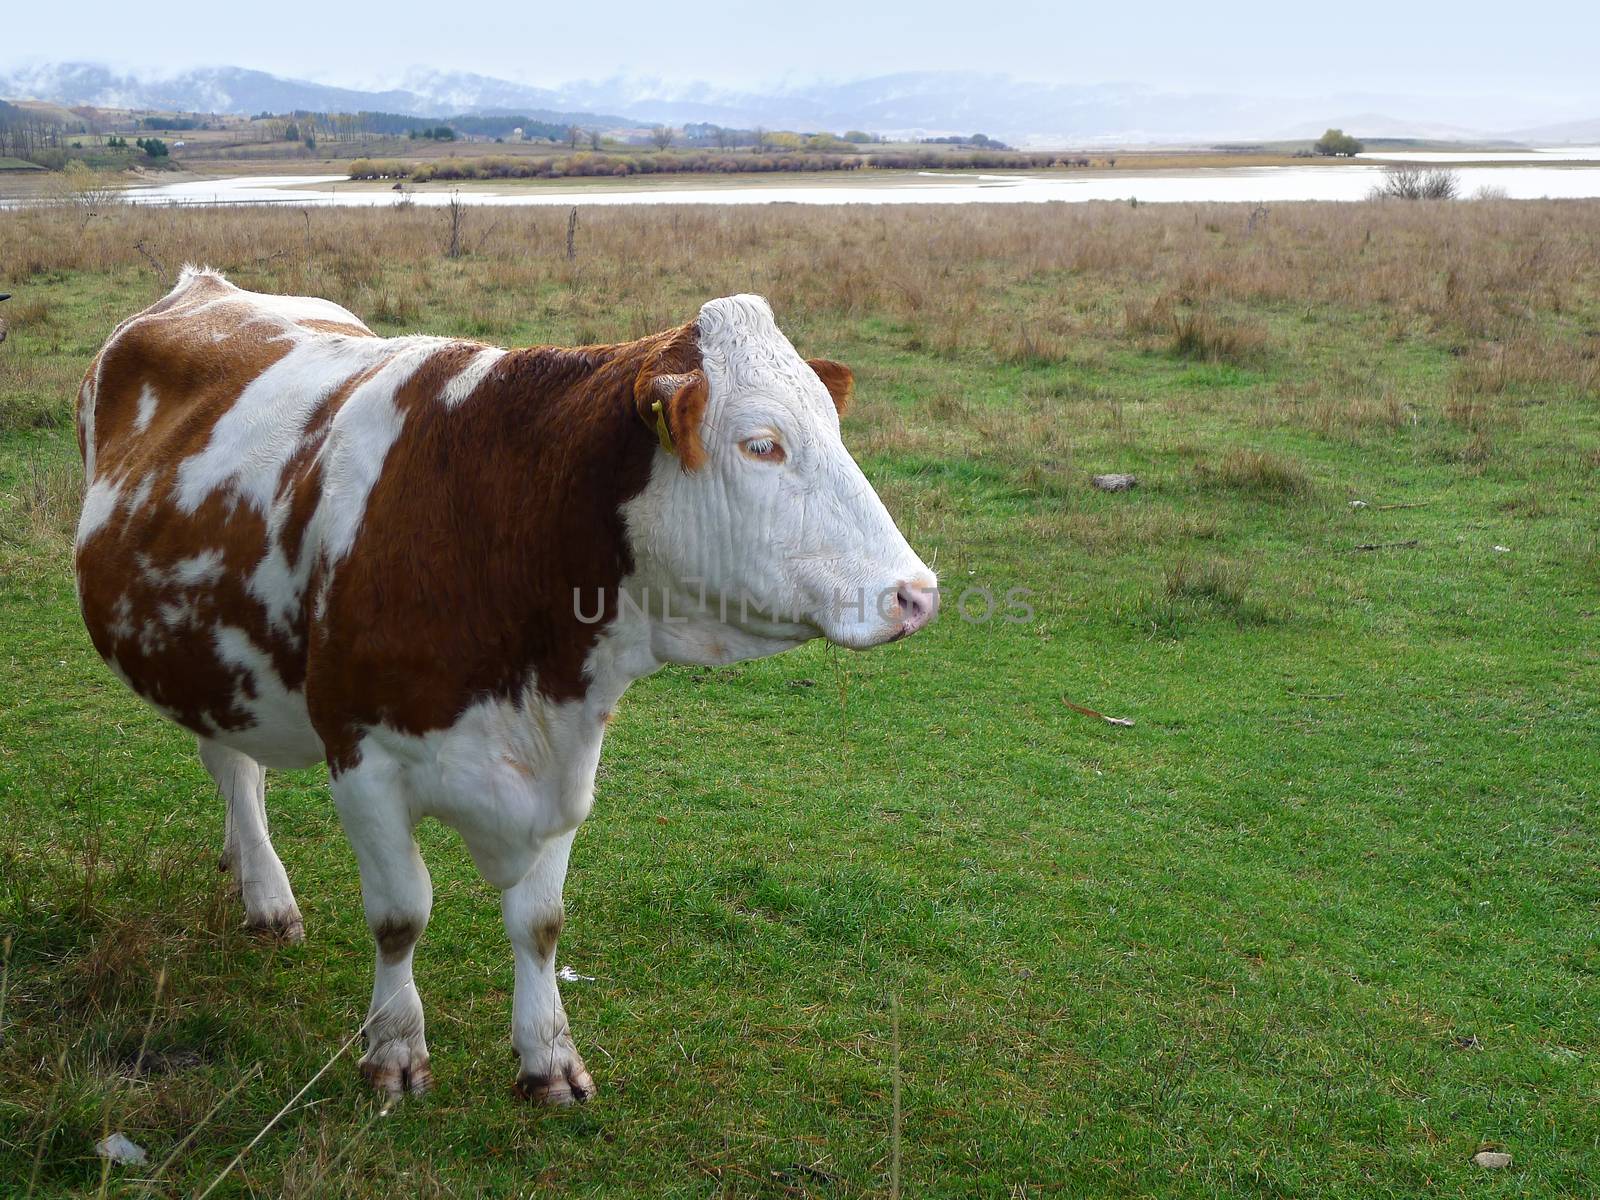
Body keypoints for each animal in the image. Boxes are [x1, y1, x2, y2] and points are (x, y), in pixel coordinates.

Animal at [75, 267, 934, 1107]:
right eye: (762, 445)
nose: (916, 593)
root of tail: (207, 285)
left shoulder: (567, 757)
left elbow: (540, 922)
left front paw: (548, 1059)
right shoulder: (362, 756)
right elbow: (400, 915)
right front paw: (394, 1049)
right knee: (231, 767)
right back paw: (268, 893)